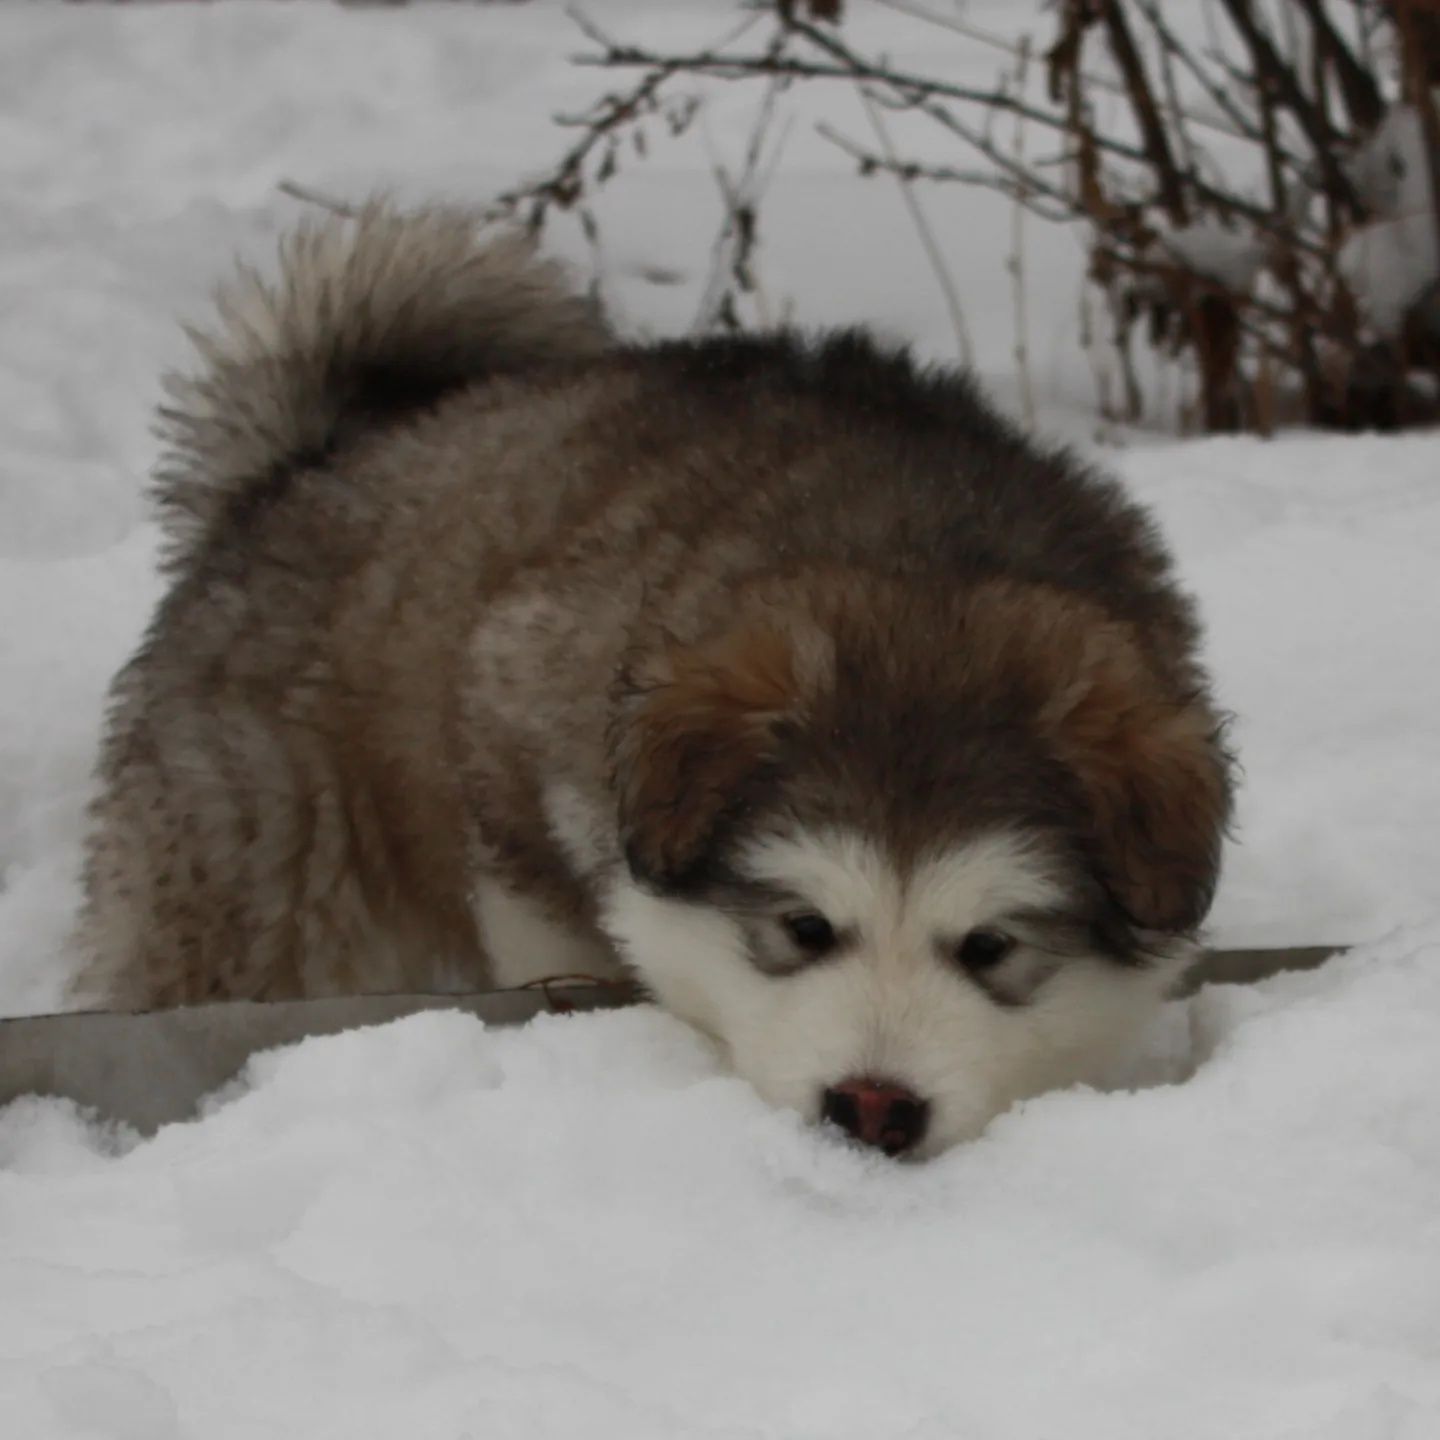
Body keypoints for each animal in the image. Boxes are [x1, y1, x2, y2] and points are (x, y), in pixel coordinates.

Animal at [73, 205, 1232, 1157]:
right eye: (803, 927)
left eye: (990, 946)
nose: (872, 1108)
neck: (929, 562)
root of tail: (295, 469)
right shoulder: (513, 742)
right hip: (263, 890)